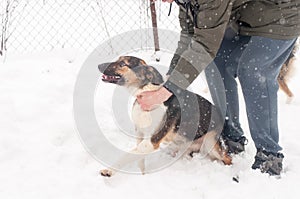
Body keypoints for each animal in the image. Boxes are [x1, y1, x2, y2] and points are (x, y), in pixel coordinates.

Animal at [97, 55, 231, 176]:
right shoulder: (139, 133)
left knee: (228, 159)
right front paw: (142, 174)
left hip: (211, 143)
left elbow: (127, 155)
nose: (98, 65)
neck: (147, 91)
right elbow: (139, 159)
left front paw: (109, 170)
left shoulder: (152, 141)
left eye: (122, 64)